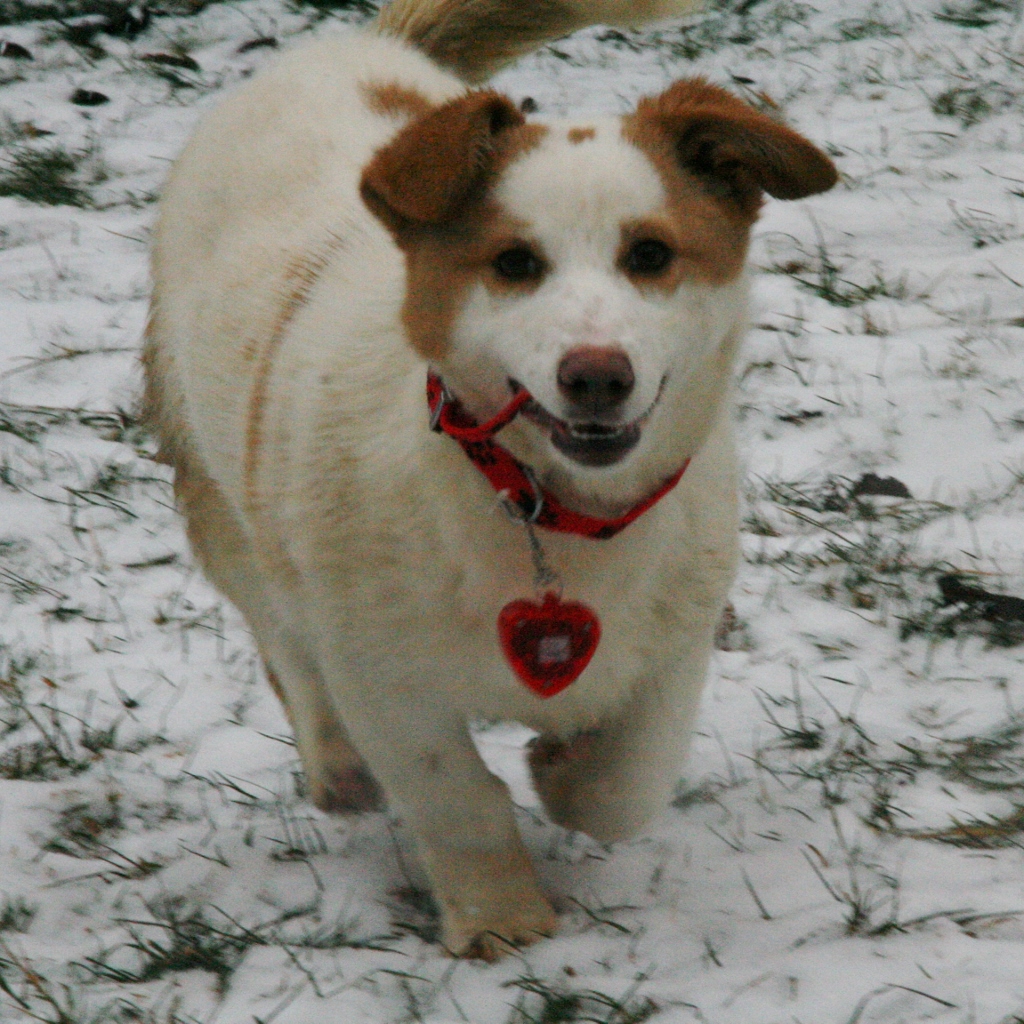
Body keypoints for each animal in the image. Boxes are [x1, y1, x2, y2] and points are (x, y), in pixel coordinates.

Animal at [145, 0, 837, 959]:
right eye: (514, 263)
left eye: (650, 253)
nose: (596, 375)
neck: (542, 512)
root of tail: (352, 46)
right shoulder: (385, 679)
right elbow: (456, 798)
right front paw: (500, 919)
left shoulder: (673, 647)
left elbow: (626, 784)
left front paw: (563, 767)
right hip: (221, 488)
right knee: (279, 632)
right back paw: (337, 763)